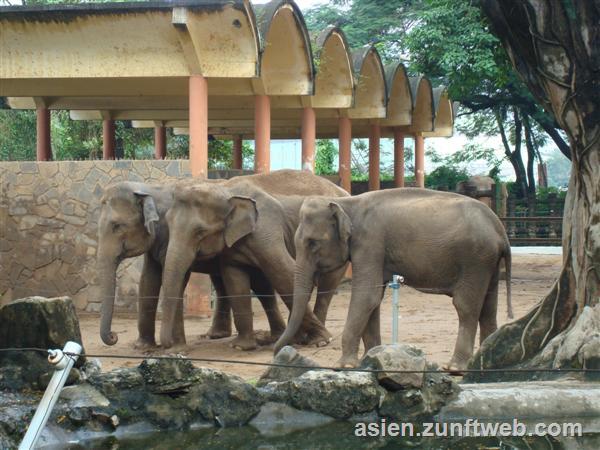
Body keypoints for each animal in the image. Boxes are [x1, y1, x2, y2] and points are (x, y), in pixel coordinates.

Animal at [274, 188, 512, 370]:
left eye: (312, 243)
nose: (277, 352)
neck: (347, 203)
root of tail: (500, 230)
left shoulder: (370, 243)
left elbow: (366, 297)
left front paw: (344, 365)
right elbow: (373, 300)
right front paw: (369, 359)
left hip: (475, 259)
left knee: (466, 307)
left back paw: (454, 368)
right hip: (488, 263)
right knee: (488, 307)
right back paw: (484, 365)